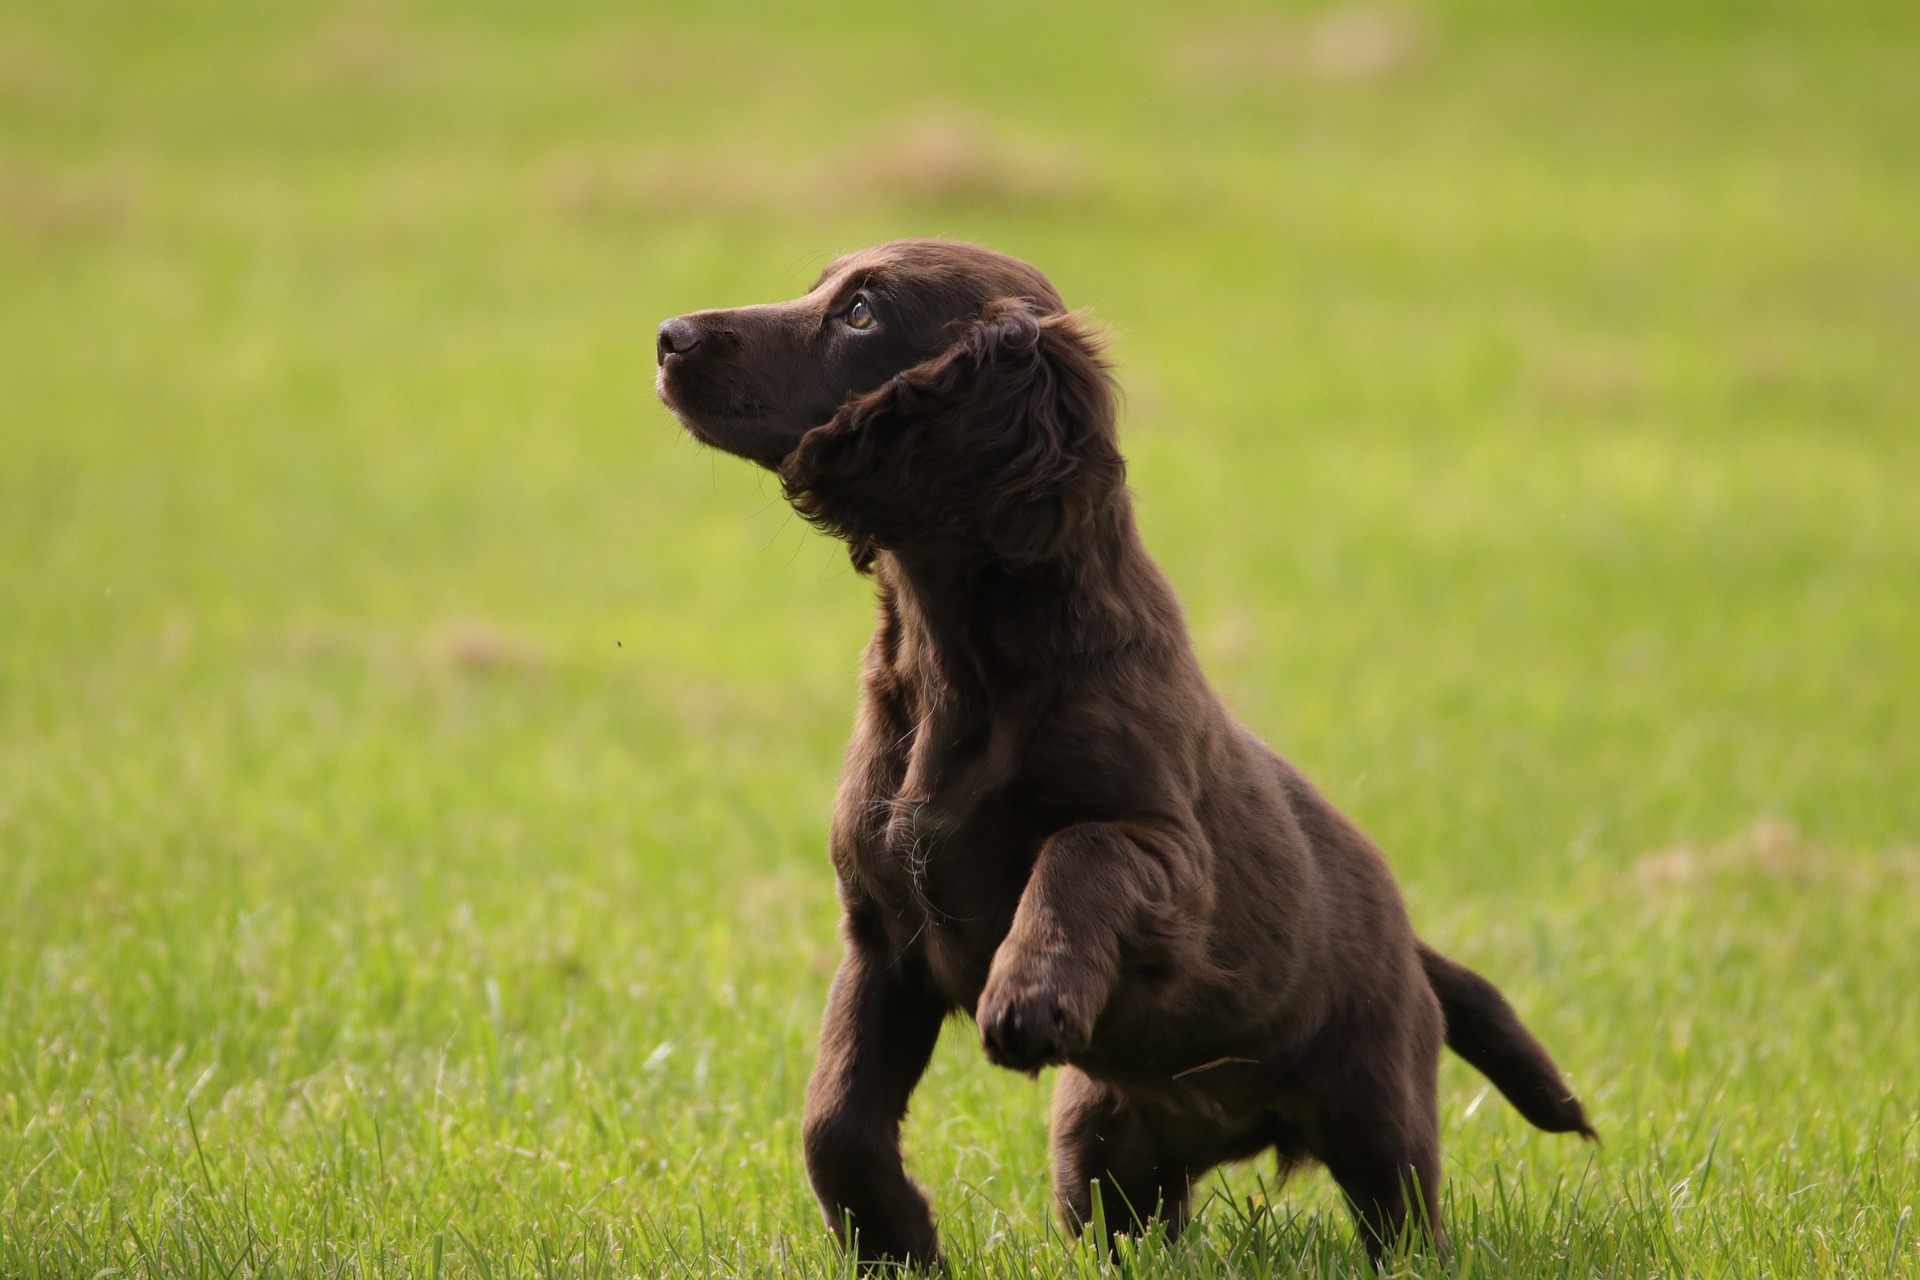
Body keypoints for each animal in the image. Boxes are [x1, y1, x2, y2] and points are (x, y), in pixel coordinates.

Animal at [656, 239, 1589, 1274]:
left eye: (860, 313)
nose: (669, 335)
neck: (954, 663)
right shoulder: (882, 933)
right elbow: (833, 1119)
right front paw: (898, 1244)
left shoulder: (1166, 853)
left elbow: (1077, 852)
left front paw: (1027, 993)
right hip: (1099, 1149)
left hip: (1376, 1105)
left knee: (1404, 1214)